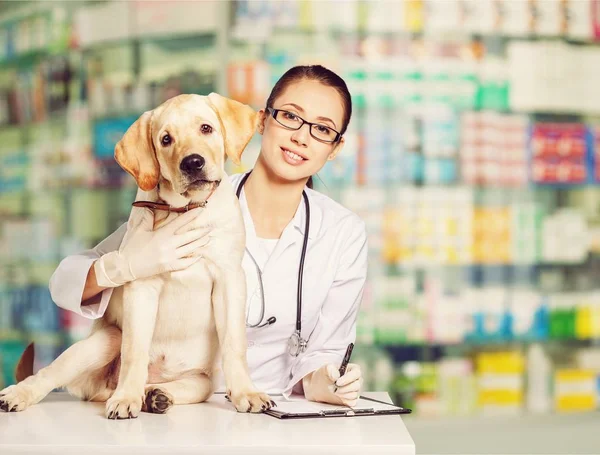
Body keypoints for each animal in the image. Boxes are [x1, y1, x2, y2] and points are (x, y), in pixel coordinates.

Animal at [0, 93, 274, 420]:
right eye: (166, 139)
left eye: (206, 128)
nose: (193, 163)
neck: (185, 210)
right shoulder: (141, 287)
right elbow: (135, 350)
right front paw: (126, 397)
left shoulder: (229, 279)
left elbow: (234, 344)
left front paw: (246, 392)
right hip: (105, 341)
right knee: (49, 374)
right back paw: (24, 394)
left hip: (202, 382)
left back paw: (155, 395)